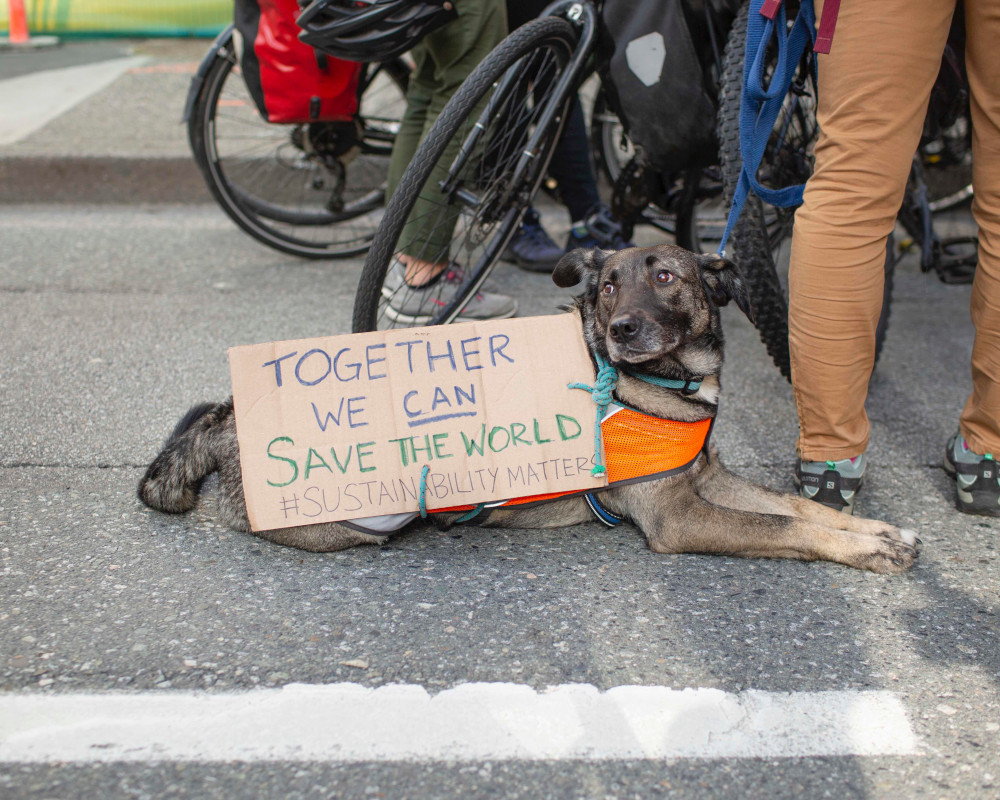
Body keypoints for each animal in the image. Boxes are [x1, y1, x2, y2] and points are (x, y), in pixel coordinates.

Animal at [137, 244, 916, 576]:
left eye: (666, 277)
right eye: (607, 286)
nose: (624, 328)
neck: (668, 382)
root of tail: (231, 418)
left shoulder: (707, 479)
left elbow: (801, 505)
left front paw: (876, 530)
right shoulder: (679, 516)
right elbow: (784, 528)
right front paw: (864, 551)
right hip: (351, 515)